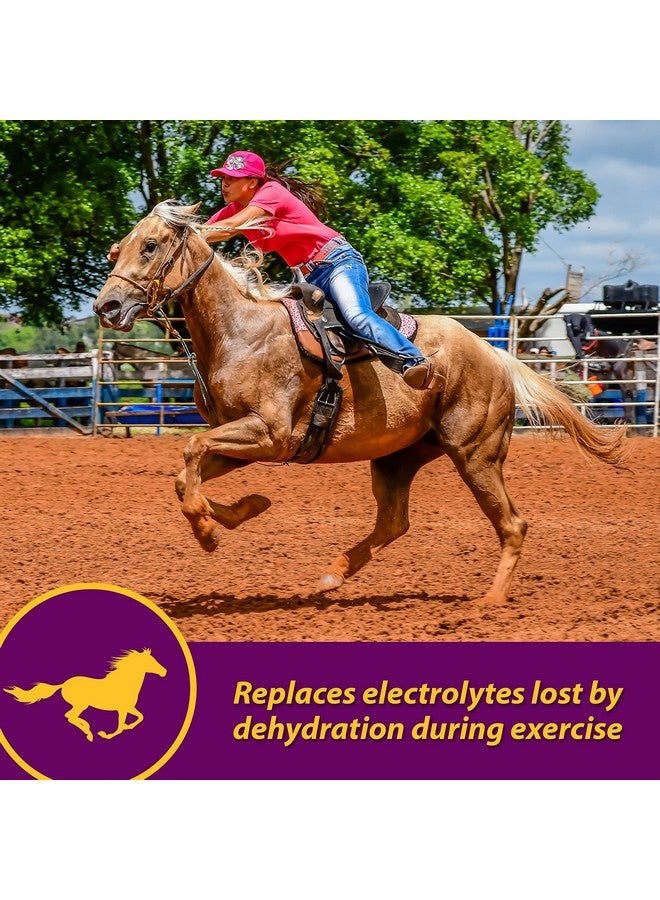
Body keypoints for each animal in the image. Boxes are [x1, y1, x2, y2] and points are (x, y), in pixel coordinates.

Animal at [4, 649, 167, 742]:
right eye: (150, 661)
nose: (164, 671)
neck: (124, 684)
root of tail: (63, 684)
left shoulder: (129, 708)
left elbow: (140, 717)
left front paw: (128, 727)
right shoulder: (121, 709)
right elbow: (120, 727)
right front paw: (105, 735)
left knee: (70, 716)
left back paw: (88, 729)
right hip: (81, 705)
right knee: (70, 716)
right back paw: (89, 733)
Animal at [93, 201, 628, 606]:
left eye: (150, 245)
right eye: (121, 246)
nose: (106, 307)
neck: (241, 331)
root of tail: (494, 354)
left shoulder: (269, 433)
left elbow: (190, 454)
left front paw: (208, 531)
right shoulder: (246, 440)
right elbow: (187, 473)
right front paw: (244, 509)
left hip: (476, 454)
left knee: (512, 524)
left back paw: (491, 601)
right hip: (398, 457)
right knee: (393, 522)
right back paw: (333, 573)